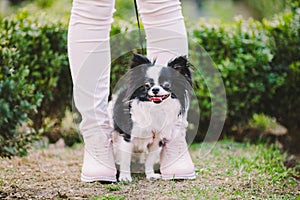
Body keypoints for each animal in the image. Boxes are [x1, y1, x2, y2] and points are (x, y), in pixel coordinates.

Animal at [108, 54, 192, 182]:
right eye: (147, 85)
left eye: (167, 85)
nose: (155, 89)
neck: (154, 109)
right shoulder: (128, 137)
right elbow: (125, 159)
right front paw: (125, 177)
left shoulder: (157, 141)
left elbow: (150, 160)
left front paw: (150, 174)